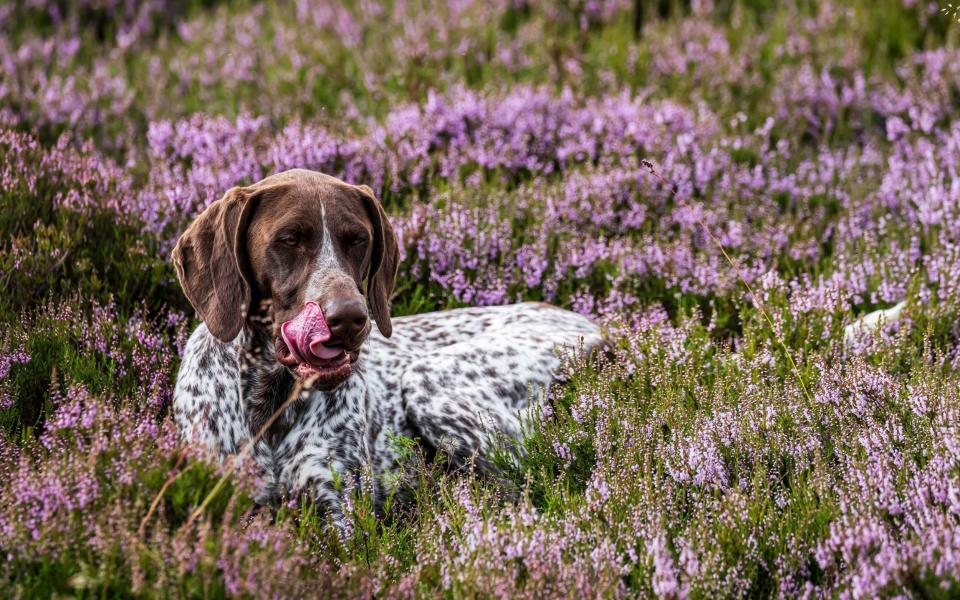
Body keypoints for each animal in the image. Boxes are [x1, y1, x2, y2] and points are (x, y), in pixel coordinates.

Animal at [171, 168, 600, 520]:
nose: (349, 318)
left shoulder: (339, 512)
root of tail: (595, 327)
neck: (271, 399)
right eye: (289, 239)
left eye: (358, 240)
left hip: (430, 382)